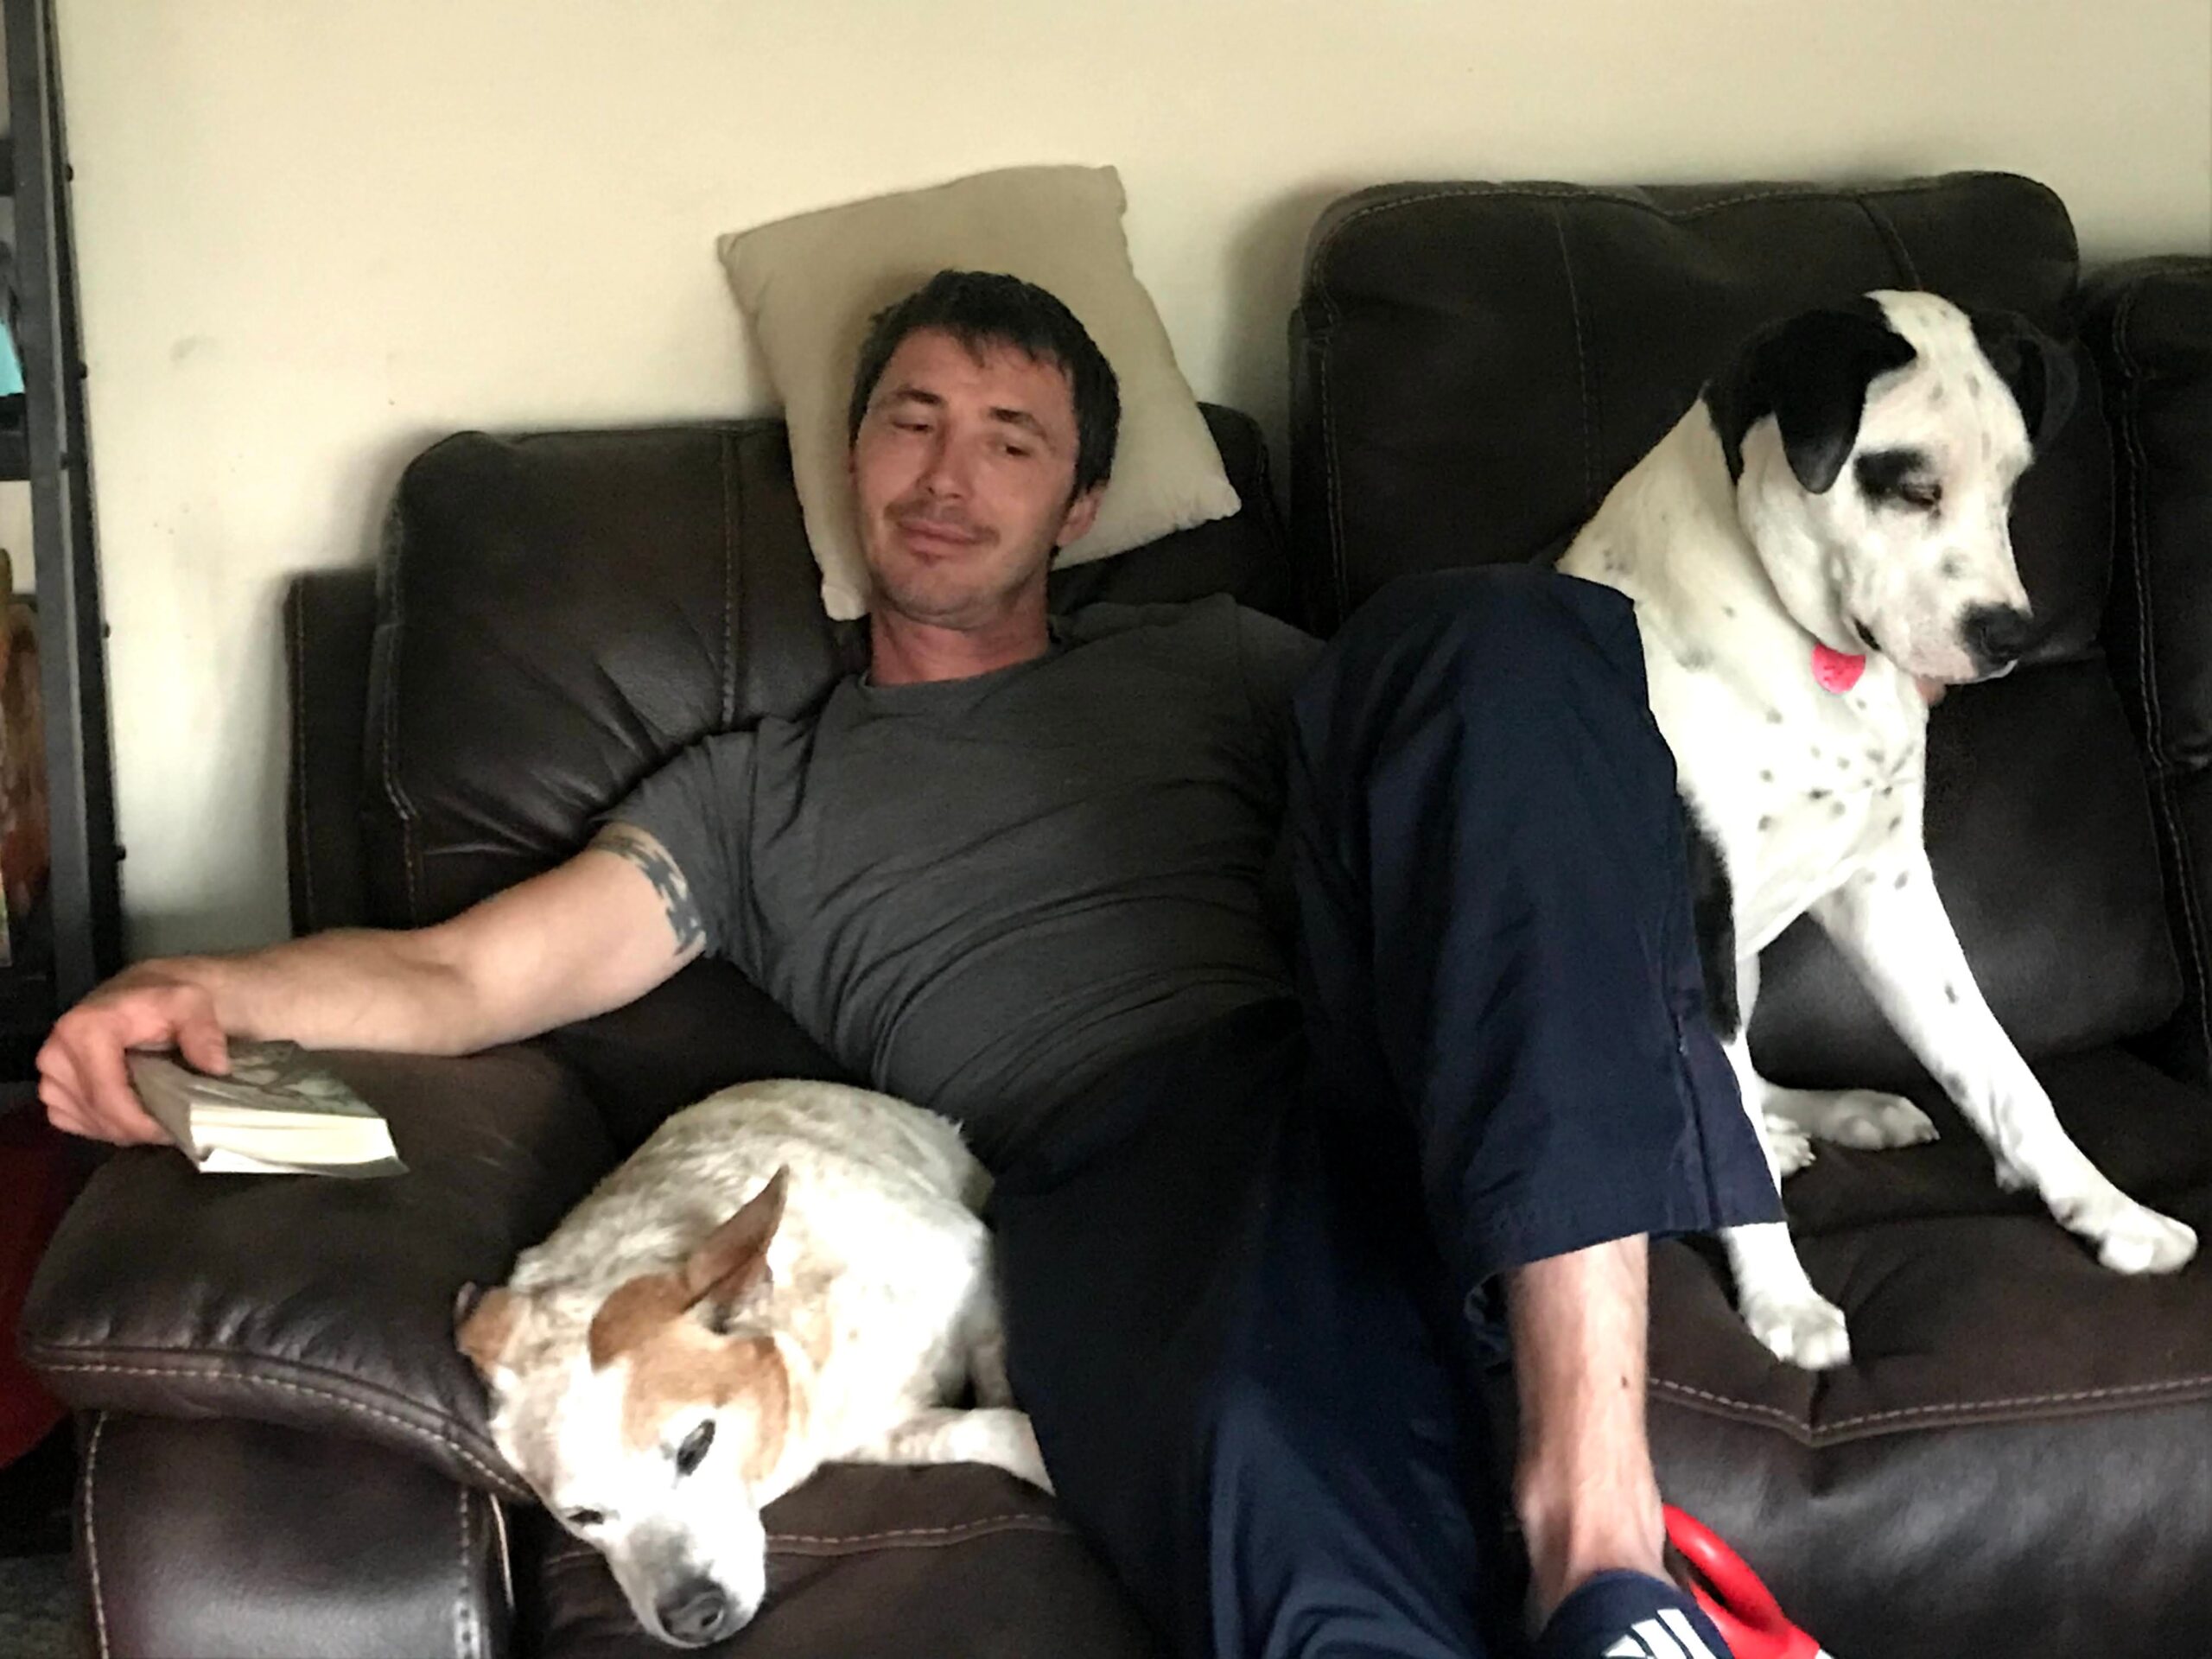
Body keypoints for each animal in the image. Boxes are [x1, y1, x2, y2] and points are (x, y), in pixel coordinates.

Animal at [454, 1078, 1048, 1647]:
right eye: (582, 1517)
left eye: (696, 1446)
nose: (693, 1617)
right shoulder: (882, 1430)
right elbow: (982, 1430)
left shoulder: (976, 1263)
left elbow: (998, 1377)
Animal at [1558, 290, 2198, 1369]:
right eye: (1906, 487)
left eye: (2012, 485)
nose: (2008, 636)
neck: (1793, 637)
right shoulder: (1692, 931)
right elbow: (1726, 1134)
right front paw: (1780, 1302)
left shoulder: (1888, 892)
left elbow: (1999, 1068)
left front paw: (2105, 1211)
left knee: (1753, 1080)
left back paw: (1832, 1114)